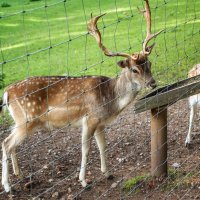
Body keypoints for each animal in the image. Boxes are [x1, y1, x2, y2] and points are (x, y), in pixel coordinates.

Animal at [0, 0, 162, 193]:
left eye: (149, 63)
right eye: (134, 70)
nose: (152, 82)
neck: (110, 99)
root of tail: (7, 92)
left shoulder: (100, 123)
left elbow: (103, 145)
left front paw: (108, 173)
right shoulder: (90, 119)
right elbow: (86, 149)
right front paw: (83, 181)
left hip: (19, 121)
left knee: (11, 145)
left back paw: (20, 175)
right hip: (27, 120)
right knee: (6, 143)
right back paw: (8, 186)